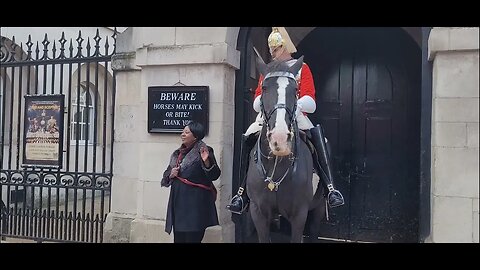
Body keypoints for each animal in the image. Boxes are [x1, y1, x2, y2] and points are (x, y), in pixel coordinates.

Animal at [248, 56, 326, 243]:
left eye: (295, 89)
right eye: (264, 88)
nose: (280, 139)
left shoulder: (299, 214)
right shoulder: (258, 212)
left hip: (319, 207)